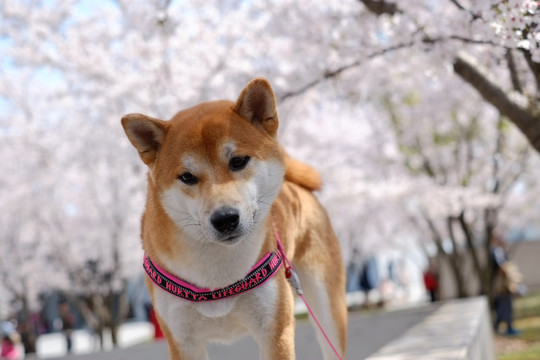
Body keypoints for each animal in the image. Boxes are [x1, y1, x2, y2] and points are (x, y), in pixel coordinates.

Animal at [121, 77, 346, 358]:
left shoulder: (275, 332)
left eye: (238, 161)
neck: (218, 278)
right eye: (187, 177)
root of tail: (300, 188)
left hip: (327, 308)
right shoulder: (183, 342)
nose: (225, 218)